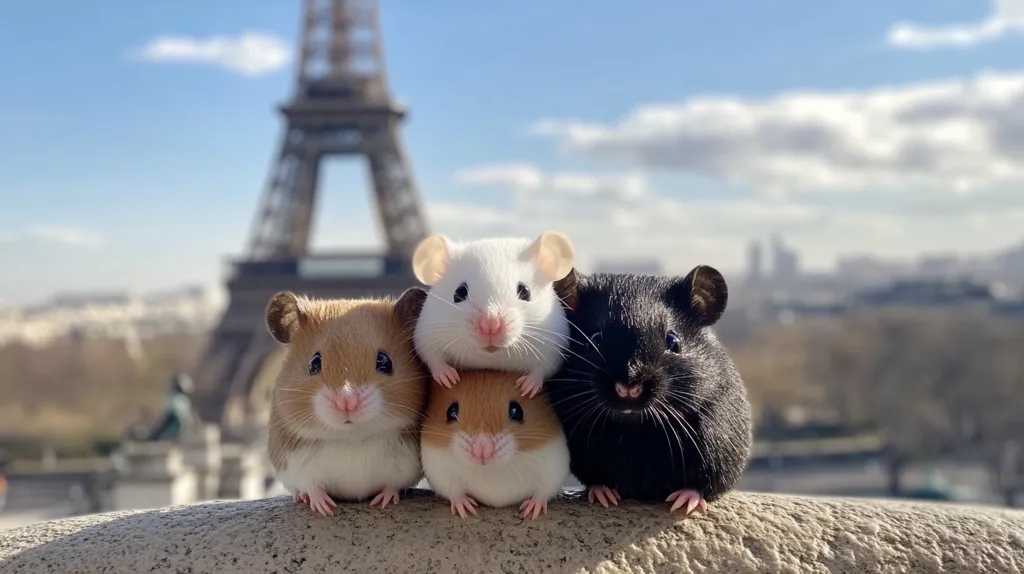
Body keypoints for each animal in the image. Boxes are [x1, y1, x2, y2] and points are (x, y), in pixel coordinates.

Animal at [265, 288, 430, 516]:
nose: (347, 402)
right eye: (314, 363)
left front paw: (383, 501)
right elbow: (312, 487)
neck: (351, 437)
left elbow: (393, 485)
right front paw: (324, 508)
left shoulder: (407, 464)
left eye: (384, 361)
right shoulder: (293, 463)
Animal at [410, 232, 578, 398]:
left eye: (525, 291)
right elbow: (432, 357)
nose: (490, 326)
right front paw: (447, 377)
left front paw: (528, 387)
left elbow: (544, 368)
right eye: (459, 293)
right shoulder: (426, 335)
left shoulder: (555, 347)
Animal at [420, 369, 570, 520]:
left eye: (517, 411)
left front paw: (531, 512)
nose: (482, 450)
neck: (491, 472)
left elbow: (543, 492)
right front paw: (466, 510)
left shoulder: (553, 466)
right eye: (451, 411)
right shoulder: (439, 470)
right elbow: (453, 492)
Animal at [545, 267, 753, 515]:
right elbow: (596, 482)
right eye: (594, 339)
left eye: (673, 341)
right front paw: (604, 496)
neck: (634, 427)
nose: (628, 389)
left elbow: (700, 486)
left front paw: (684, 504)